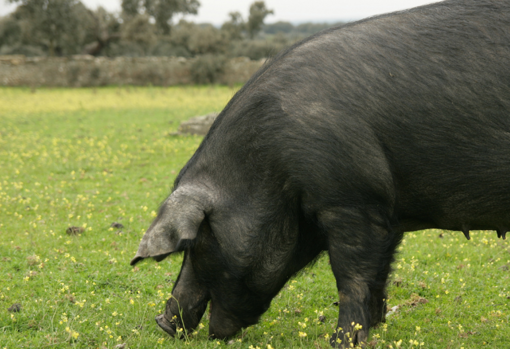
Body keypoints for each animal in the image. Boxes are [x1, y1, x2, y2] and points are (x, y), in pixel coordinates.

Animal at [130, 0, 510, 346]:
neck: (272, 166)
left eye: (199, 241)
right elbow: (380, 274)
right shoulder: (386, 215)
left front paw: (344, 341)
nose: (162, 323)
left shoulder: (351, 201)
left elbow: (351, 276)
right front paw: (375, 326)